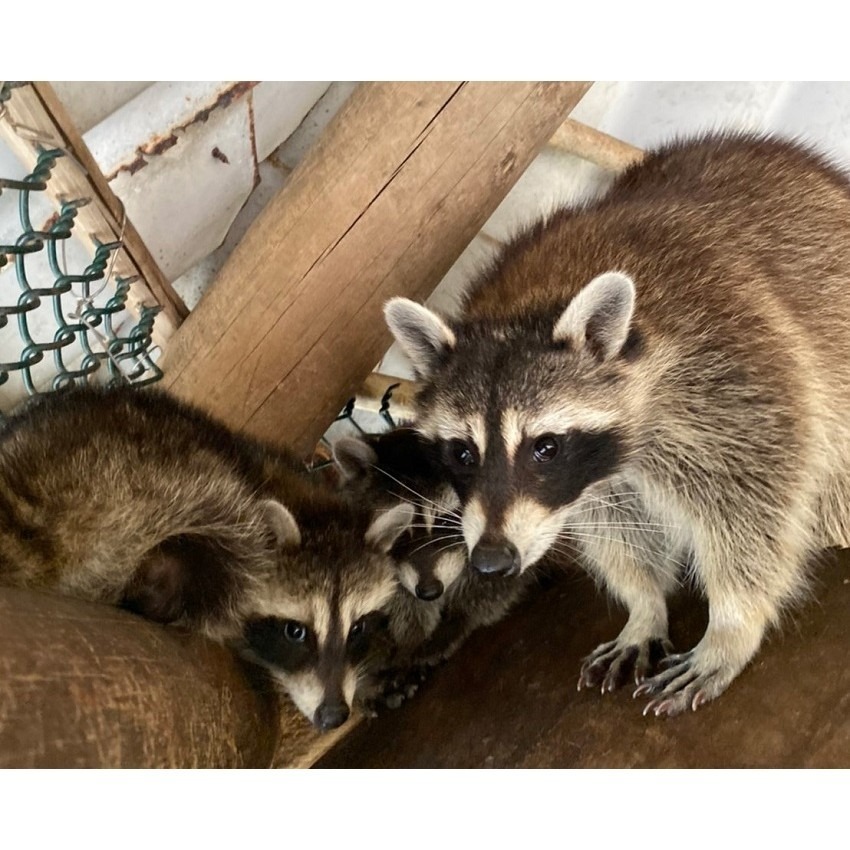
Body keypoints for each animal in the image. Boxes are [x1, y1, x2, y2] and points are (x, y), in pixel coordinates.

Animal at [382, 134, 850, 716]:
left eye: (545, 447)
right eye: (462, 454)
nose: (491, 562)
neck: (524, 305)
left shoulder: (731, 369)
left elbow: (756, 503)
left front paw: (732, 623)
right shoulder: (589, 487)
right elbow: (615, 528)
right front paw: (644, 605)